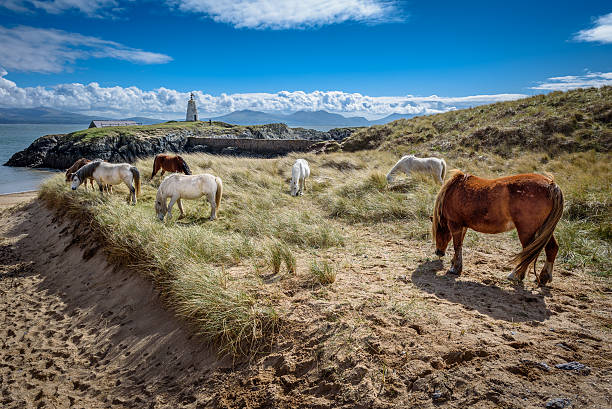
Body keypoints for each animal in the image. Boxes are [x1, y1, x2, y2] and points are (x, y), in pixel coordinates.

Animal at [432, 171, 560, 286]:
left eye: (438, 231)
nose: (438, 252)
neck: (453, 191)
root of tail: (551, 185)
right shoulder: (463, 226)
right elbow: (460, 245)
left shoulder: (455, 224)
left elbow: (457, 246)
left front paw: (455, 268)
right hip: (543, 230)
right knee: (552, 248)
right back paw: (543, 277)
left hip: (527, 231)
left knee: (527, 254)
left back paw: (515, 275)